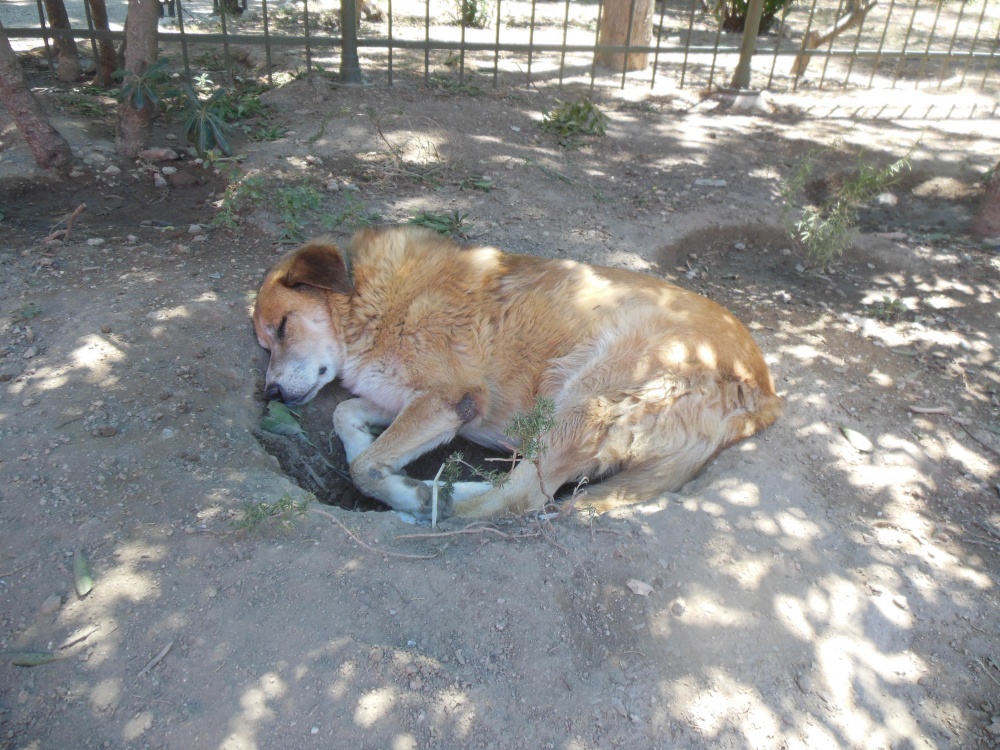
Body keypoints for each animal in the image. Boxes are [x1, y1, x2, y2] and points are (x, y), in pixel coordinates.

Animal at [252, 226, 780, 520]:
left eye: (282, 327)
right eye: (264, 342)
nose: (271, 393)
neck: (371, 297)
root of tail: (764, 395)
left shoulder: (451, 398)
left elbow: (363, 467)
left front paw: (388, 478)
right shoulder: (411, 401)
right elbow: (344, 414)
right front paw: (364, 446)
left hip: (584, 395)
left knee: (522, 496)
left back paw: (431, 500)